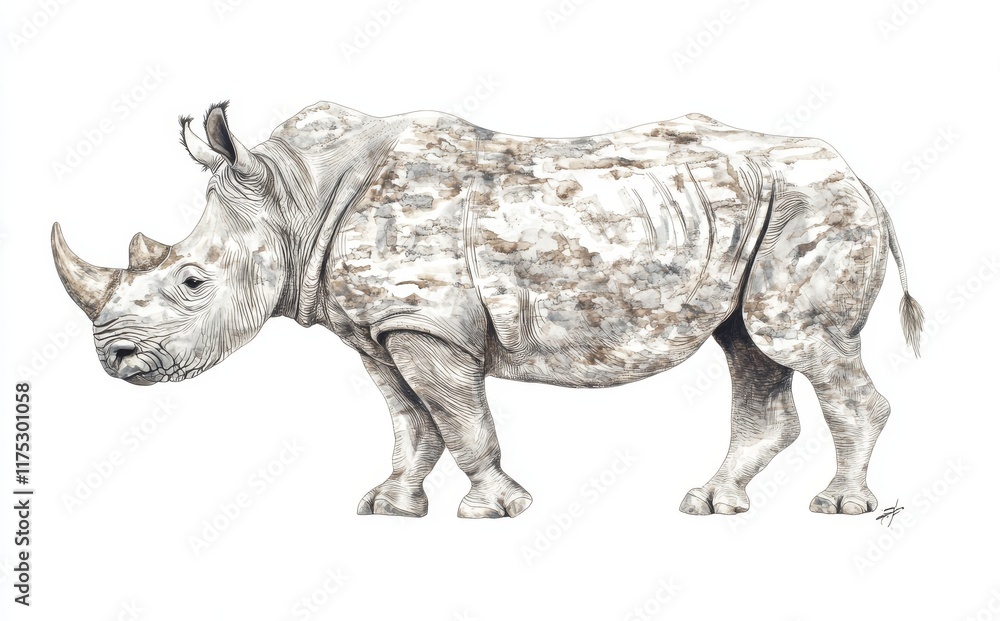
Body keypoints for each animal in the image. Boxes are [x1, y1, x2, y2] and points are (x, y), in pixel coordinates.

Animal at [52, 101, 923, 518]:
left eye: (193, 282)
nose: (115, 359)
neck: (296, 199)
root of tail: (864, 175)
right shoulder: (378, 327)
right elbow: (411, 424)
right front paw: (389, 506)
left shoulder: (427, 325)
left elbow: (459, 417)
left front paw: (495, 510)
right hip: (762, 209)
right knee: (749, 345)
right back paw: (711, 504)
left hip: (814, 202)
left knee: (794, 339)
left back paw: (840, 506)